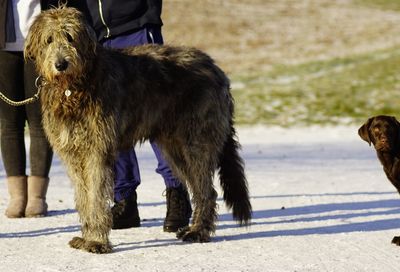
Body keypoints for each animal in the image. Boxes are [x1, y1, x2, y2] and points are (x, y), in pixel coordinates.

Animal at [24, 6, 250, 253]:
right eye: (48, 39)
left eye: (70, 37)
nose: (61, 65)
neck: (75, 88)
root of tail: (217, 70)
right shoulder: (73, 153)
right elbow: (84, 198)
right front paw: (87, 237)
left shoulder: (96, 151)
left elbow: (95, 197)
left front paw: (96, 241)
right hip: (175, 147)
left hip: (196, 141)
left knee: (206, 191)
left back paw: (198, 231)